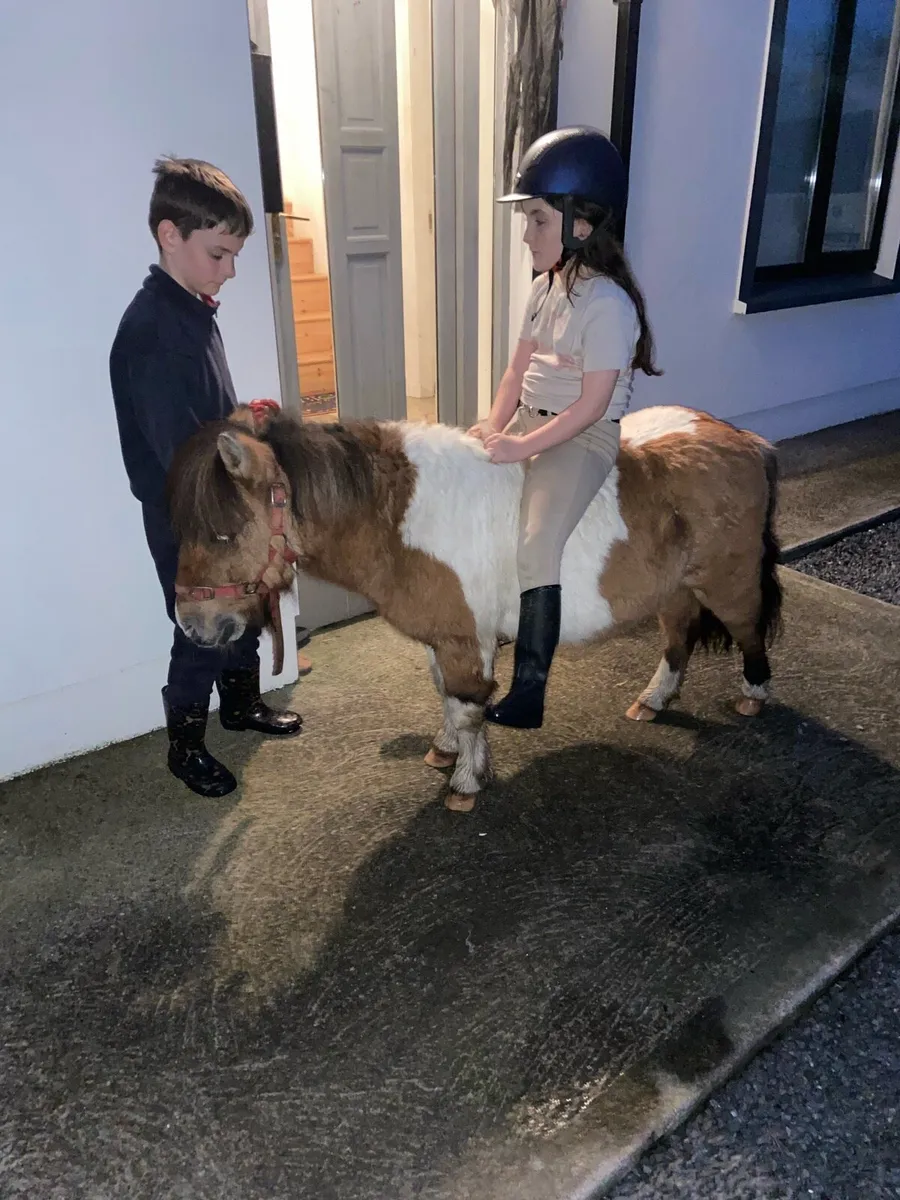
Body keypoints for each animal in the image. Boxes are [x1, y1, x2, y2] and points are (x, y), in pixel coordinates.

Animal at [167, 403, 782, 811]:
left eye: (221, 532)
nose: (192, 625)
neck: (400, 518)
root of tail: (746, 439)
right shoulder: (450, 638)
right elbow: (448, 698)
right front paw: (448, 751)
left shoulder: (464, 639)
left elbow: (466, 707)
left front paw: (465, 782)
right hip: (676, 589)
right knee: (678, 638)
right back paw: (654, 699)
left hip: (726, 583)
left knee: (750, 632)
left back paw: (752, 696)